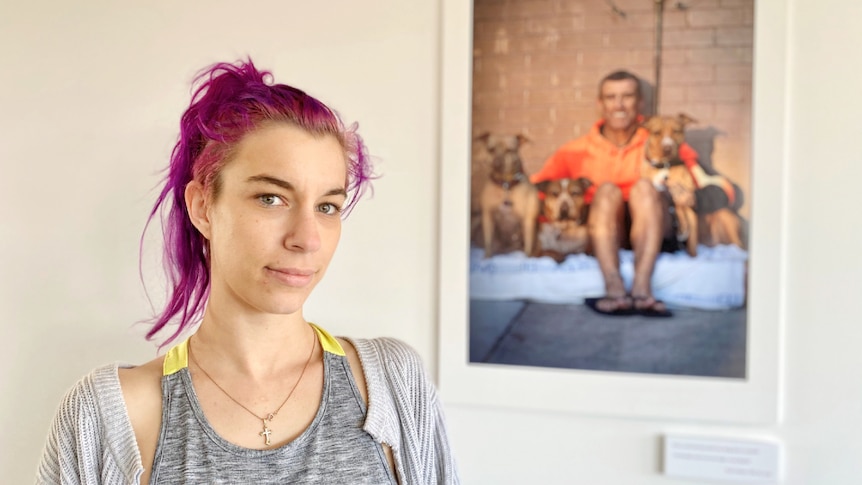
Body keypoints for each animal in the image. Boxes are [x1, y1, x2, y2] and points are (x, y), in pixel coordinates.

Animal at [476, 130, 544, 260]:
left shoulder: (528, 220)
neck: (505, 185)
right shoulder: (487, 216)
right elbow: (488, 243)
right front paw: (486, 259)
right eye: (491, 149)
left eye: (509, 150)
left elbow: (528, 246)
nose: (496, 163)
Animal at [644, 114, 744, 258]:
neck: (665, 166)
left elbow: (691, 245)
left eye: (676, 131)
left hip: (726, 216)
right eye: (656, 132)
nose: (667, 147)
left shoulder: (689, 207)